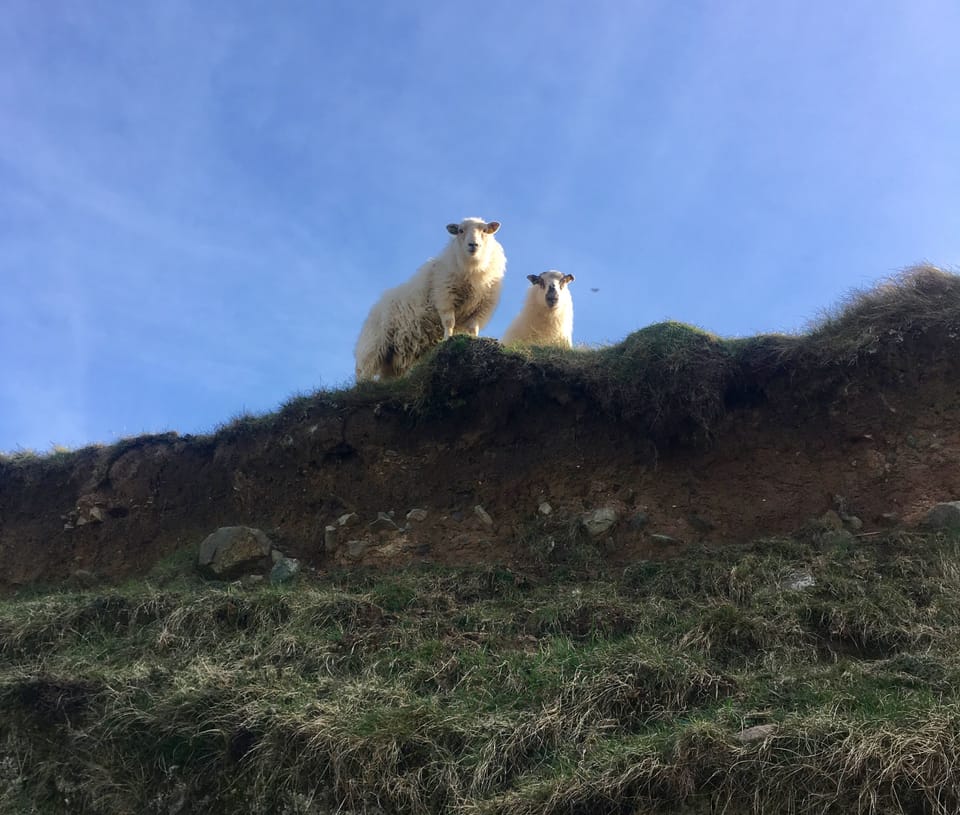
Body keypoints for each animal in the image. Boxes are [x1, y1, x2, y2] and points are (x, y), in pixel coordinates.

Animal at [354, 217, 506, 380]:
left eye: (484, 230)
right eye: (460, 230)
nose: (473, 245)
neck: (473, 267)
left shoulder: (482, 308)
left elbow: (473, 328)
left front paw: (475, 339)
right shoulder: (444, 296)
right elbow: (449, 322)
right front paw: (447, 339)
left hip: (392, 356)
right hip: (373, 348)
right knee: (364, 375)